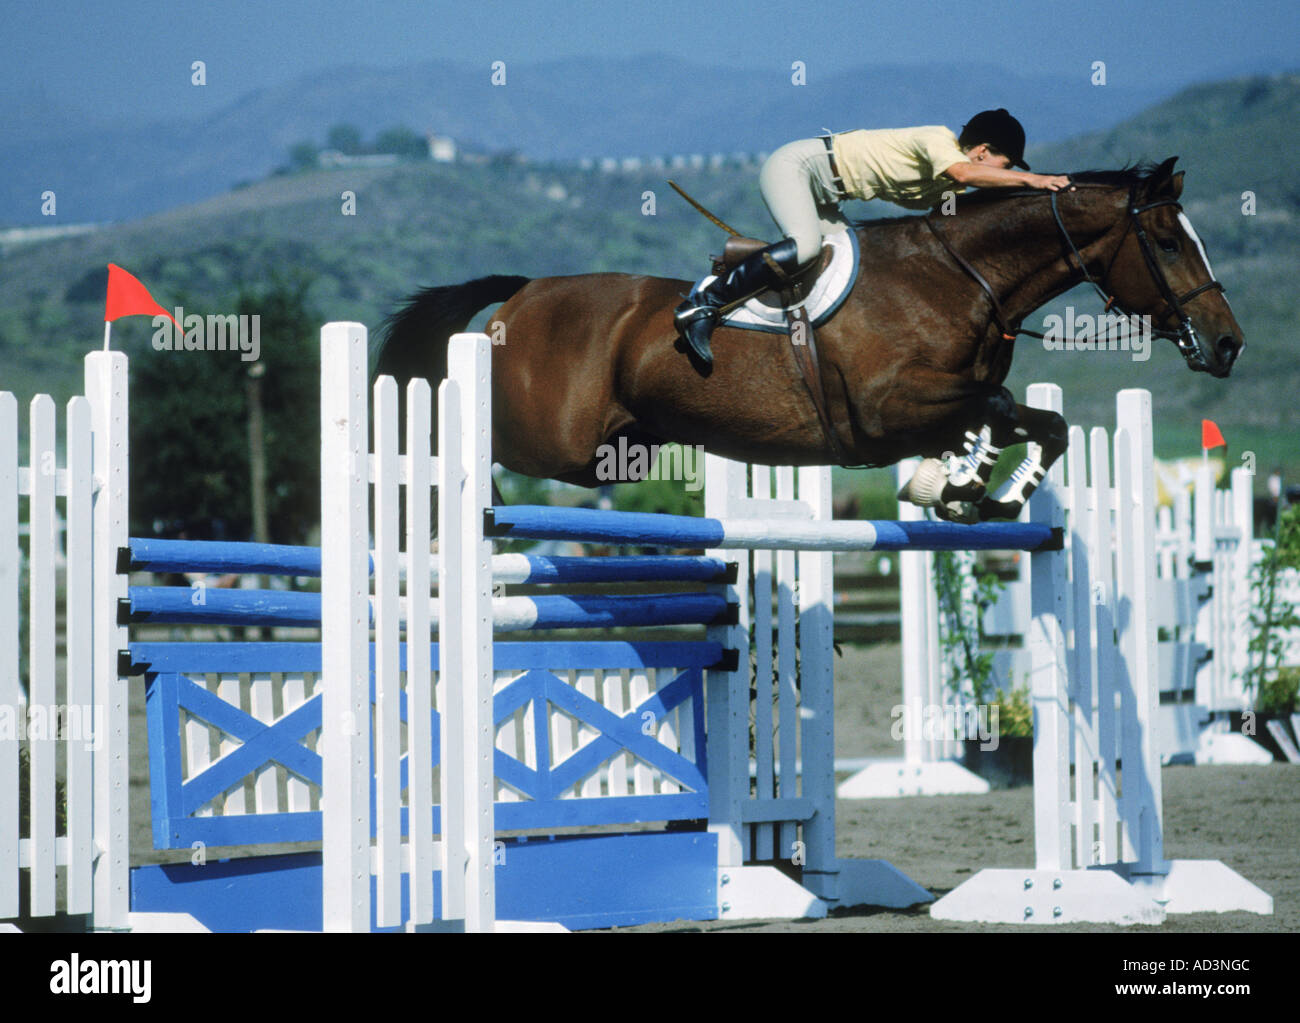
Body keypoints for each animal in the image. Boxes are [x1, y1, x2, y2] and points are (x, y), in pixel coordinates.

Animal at [377, 155, 1237, 525]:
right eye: (1167, 242)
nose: (1227, 343)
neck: (963, 276)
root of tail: (523, 292)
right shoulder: (891, 408)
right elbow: (998, 404)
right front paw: (962, 488)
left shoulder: (930, 411)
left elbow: (1037, 420)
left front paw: (972, 495)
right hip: (550, 438)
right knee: (458, 436)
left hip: (609, 453)